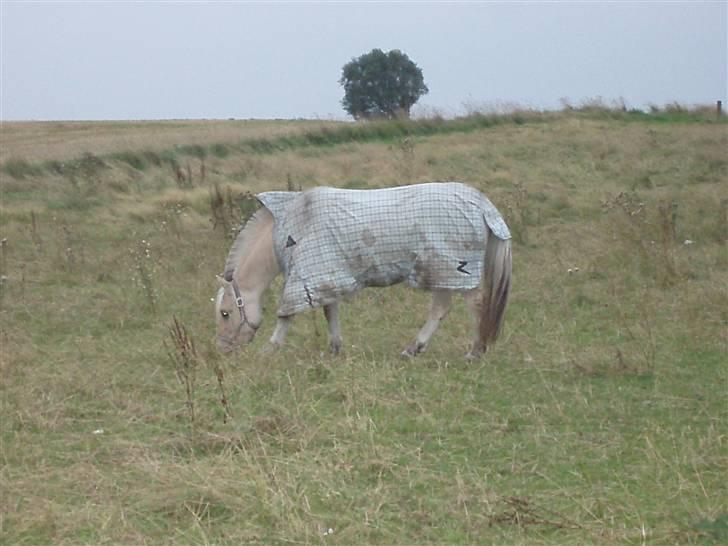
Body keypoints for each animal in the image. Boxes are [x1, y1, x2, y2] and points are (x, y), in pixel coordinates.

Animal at [215, 181, 512, 356]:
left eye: (225, 313)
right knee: (440, 310)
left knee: (475, 304)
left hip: (454, 270)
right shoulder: (326, 275)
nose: (224, 349)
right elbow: (330, 311)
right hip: (442, 271)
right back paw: (414, 348)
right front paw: (335, 348)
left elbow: (286, 316)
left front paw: (270, 348)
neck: (288, 228)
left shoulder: (306, 279)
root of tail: (482, 204)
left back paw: (476, 351)